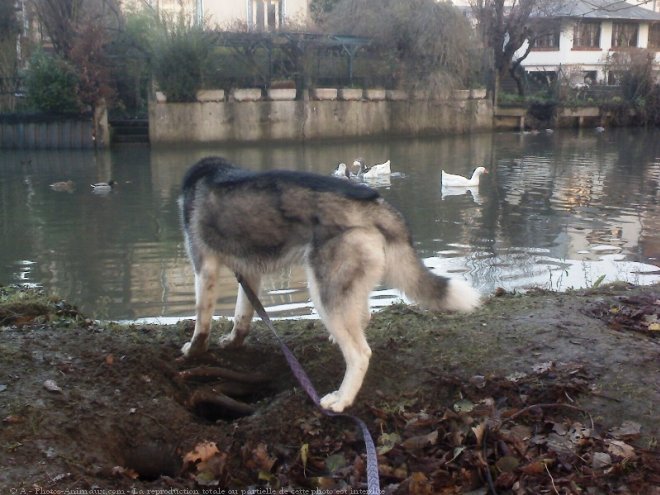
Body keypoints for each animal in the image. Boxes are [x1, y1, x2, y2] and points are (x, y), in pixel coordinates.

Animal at [179, 157, 480, 412]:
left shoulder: (204, 269)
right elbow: (242, 315)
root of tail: (376, 205)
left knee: (360, 354)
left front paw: (193, 352)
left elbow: (202, 322)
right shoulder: (249, 273)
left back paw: (342, 399)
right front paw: (233, 341)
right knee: (363, 318)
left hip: (324, 292)